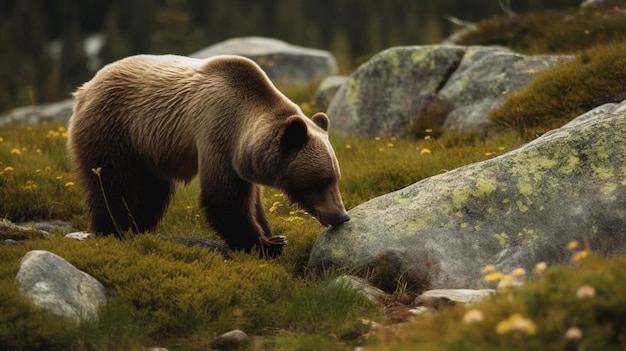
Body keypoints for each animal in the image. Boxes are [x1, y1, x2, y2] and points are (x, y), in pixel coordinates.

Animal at [69, 55, 352, 258]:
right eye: (323, 180)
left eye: (336, 178)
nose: (341, 216)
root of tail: (85, 87)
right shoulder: (218, 136)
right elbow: (223, 198)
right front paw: (269, 244)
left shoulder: (241, 159)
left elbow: (252, 201)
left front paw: (270, 234)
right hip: (113, 129)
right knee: (112, 183)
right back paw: (114, 230)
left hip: (149, 149)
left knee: (154, 192)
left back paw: (139, 227)